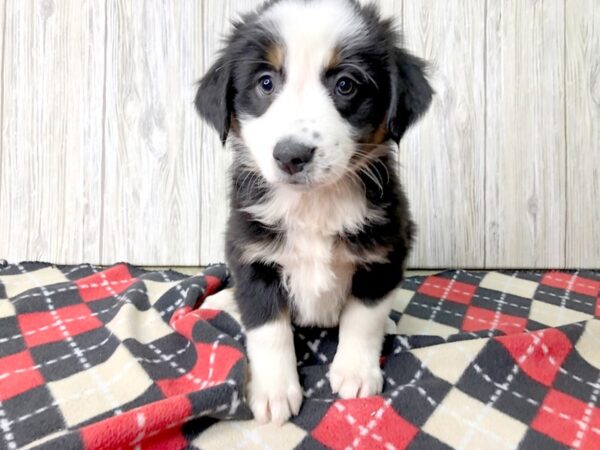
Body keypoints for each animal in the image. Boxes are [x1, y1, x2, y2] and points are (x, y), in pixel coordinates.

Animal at [196, 0, 432, 426]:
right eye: (266, 83)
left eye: (346, 85)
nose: (292, 155)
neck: (314, 204)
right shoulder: (251, 254)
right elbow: (268, 329)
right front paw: (274, 392)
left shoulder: (384, 252)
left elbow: (364, 317)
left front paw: (356, 373)